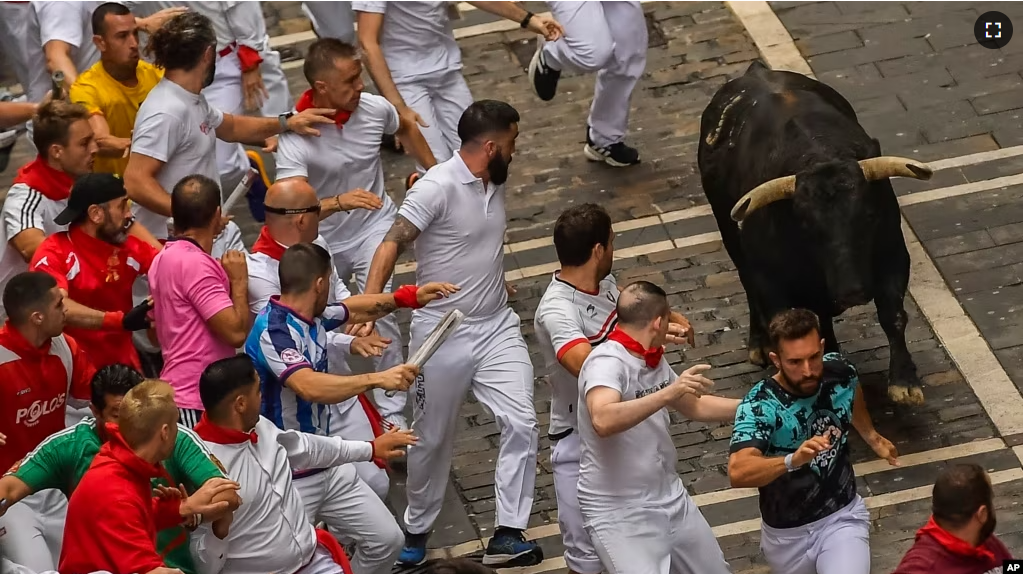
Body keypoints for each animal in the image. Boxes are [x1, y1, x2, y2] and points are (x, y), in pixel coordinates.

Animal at [696, 60, 937, 405]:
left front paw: (905, 383)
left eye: (868, 216)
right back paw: (759, 343)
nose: (852, 292)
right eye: (806, 225)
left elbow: (893, 315)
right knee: (748, 282)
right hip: (729, 231)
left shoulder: (892, 255)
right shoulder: (771, 279)